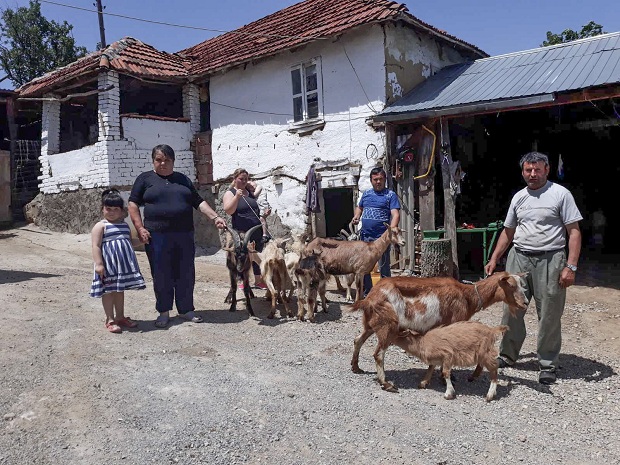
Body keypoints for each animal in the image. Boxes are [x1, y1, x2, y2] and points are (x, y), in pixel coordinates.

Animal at [349, 271, 528, 392]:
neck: (468, 296)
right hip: (388, 326)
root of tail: (369, 298)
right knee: (379, 353)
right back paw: (386, 384)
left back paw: (356, 367)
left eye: (522, 285)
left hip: (371, 324)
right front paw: (447, 378)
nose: (525, 303)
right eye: (511, 285)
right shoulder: (454, 323)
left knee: (358, 339)